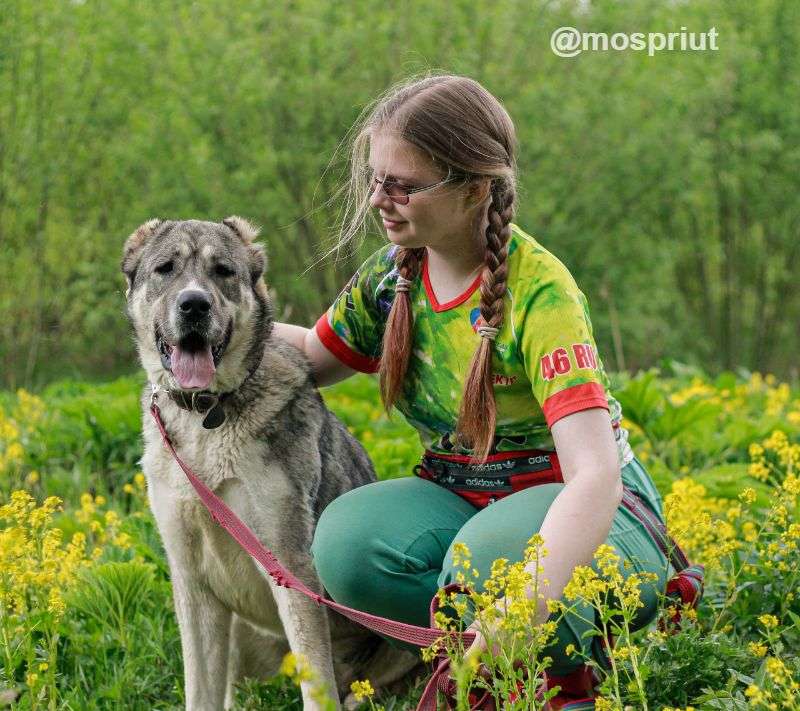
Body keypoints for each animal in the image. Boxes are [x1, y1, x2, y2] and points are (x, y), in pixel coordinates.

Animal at [121, 218, 418, 711]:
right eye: (165, 269)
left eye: (223, 271)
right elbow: (199, 690)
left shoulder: (290, 566)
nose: (194, 304)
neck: (206, 416)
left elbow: (316, 688)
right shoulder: (192, 583)